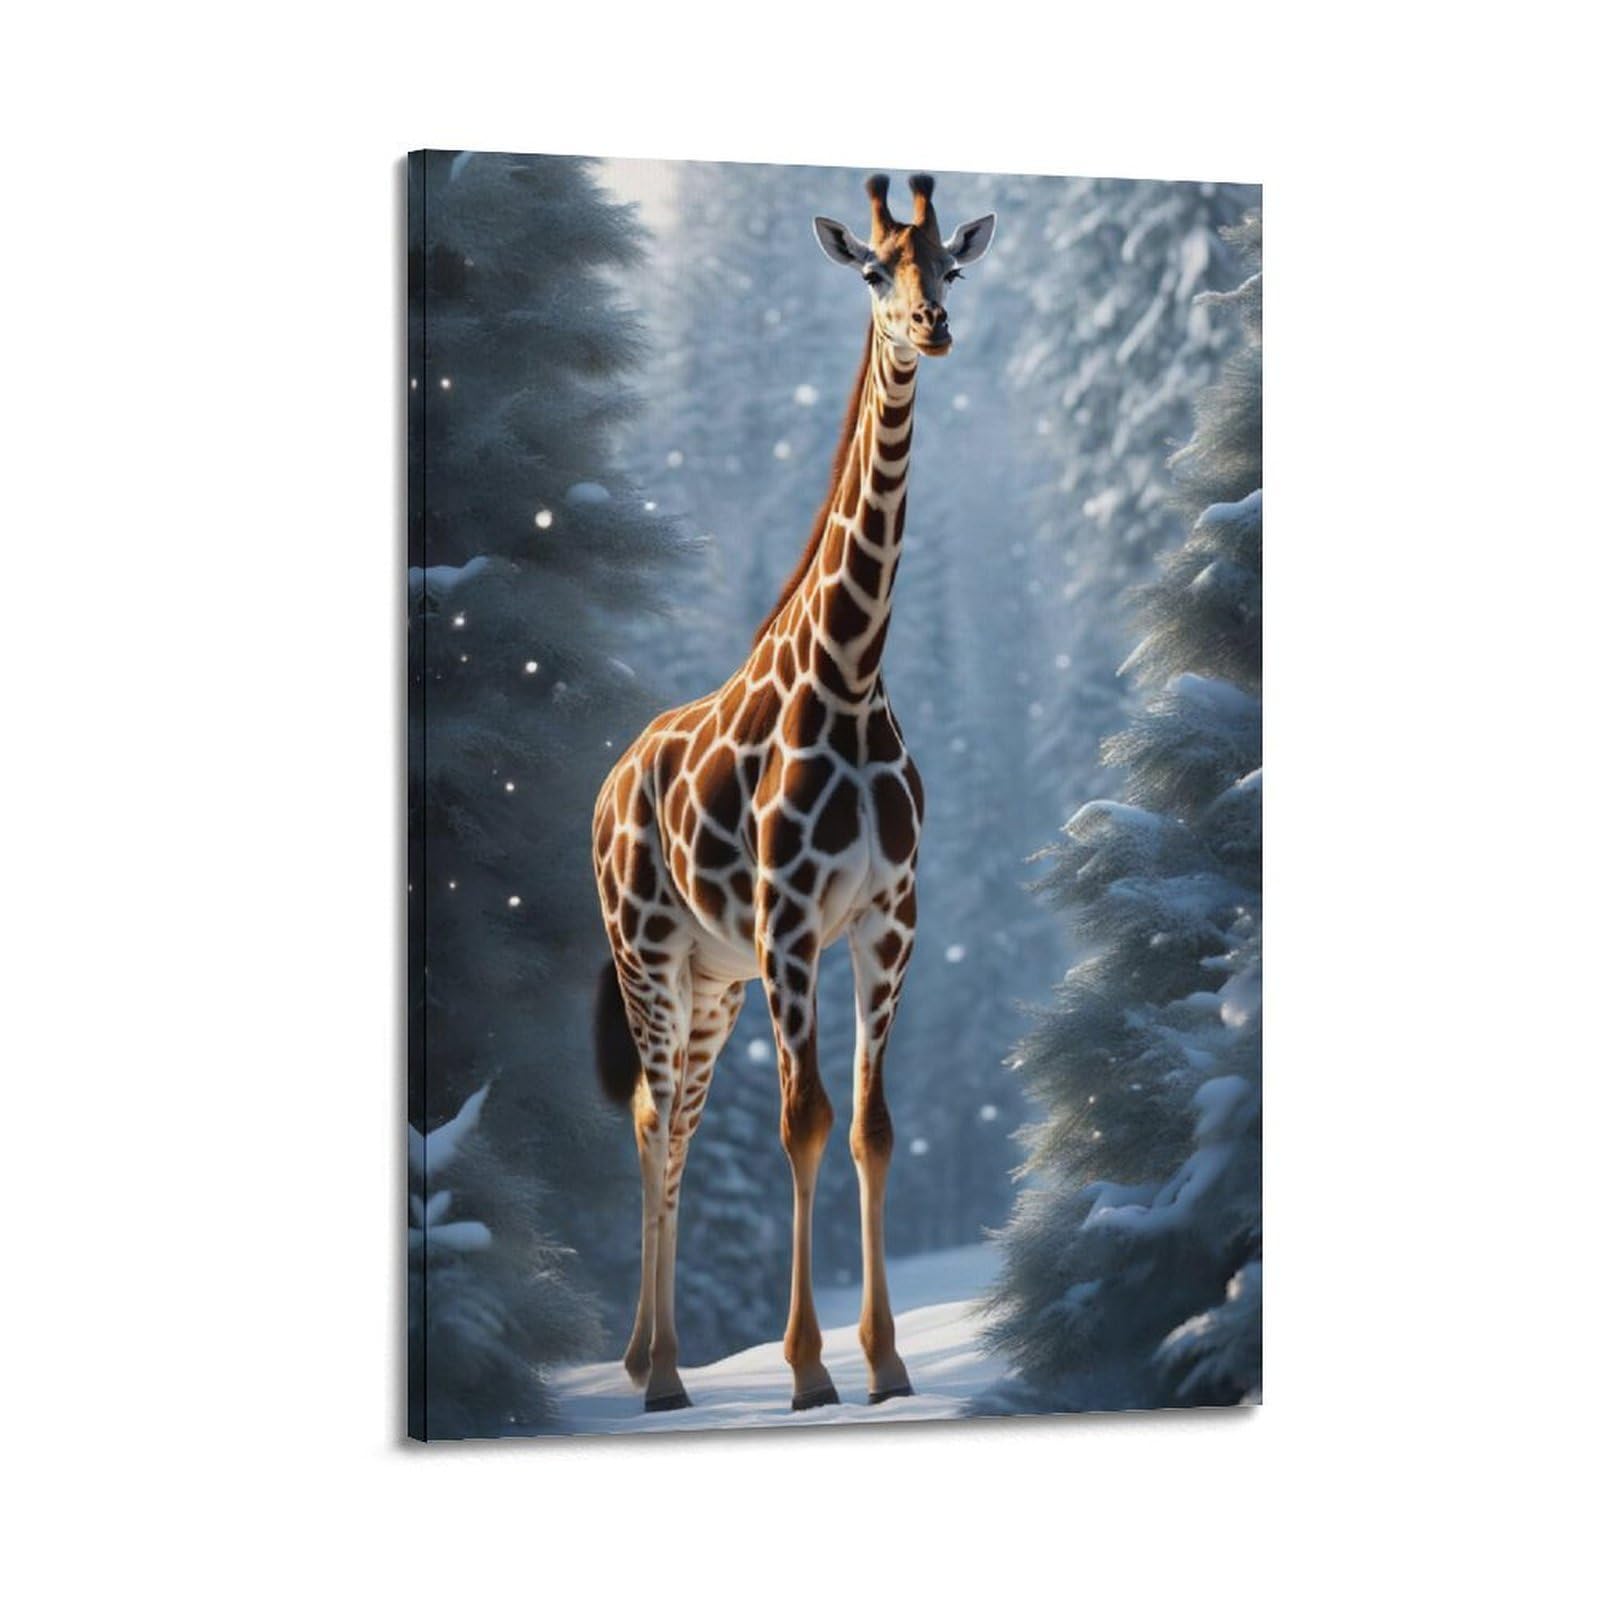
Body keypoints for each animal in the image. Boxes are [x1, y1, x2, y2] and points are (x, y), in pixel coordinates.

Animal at [591, 173, 996, 1413]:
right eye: (872, 270)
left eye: (948, 266)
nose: (930, 329)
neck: (852, 675)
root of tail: (605, 784)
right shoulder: (788, 923)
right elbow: (802, 1122)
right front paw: (810, 1367)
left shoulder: (888, 918)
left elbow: (870, 1127)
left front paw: (888, 1361)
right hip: (648, 949)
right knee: (654, 1113)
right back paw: (659, 1372)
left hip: (709, 977)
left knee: (673, 1115)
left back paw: (652, 1358)